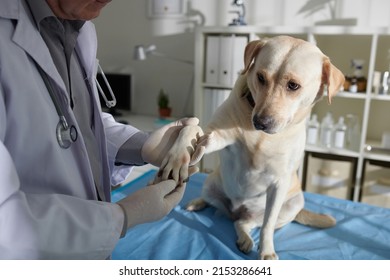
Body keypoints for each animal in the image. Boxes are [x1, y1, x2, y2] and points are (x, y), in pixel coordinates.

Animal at [157, 35, 346, 260]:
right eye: (261, 77)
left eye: (293, 85)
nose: (260, 122)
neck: (261, 137)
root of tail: (234, 211)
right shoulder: (216, 135)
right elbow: (190, 130)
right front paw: (178, 157)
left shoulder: (279, 183)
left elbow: (267, 225)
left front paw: (266, 251)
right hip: (210, 184)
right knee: (212, 201)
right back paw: (197, 203)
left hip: (293, 203)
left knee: (246, 223)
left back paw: (245, 238)